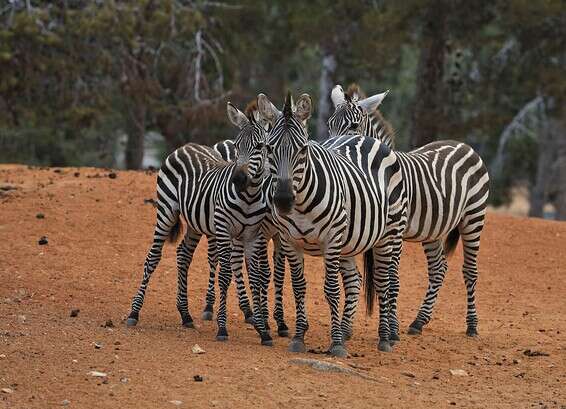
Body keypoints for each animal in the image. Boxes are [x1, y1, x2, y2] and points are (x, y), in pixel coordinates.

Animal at [127, 101, 276, 344]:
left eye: (260, 146)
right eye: (237, 146)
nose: (238, 179)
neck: (248, 197)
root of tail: (186, 146)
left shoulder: (253, 235)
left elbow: (255, 277)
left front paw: (263, 332)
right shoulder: (224, 231)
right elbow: (224, 276)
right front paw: (222, 328)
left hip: (195, 223)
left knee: (183, 255)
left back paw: (185, 314)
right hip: (166, 211)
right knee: (152, 258)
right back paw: (134, 312)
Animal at [258, 91, 408, 354]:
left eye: (303, 149)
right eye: (269, 148)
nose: (283, 200)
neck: (301, 204)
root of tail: (365, 139)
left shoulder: (331, 239)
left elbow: (331, 289)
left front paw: (336, 343)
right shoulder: (290, 241)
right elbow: (298, 287)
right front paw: (299, 338)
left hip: (390, 233)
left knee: (385, 281)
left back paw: (385, 337)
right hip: (349, 241)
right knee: (355, 280)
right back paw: (351, 329)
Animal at [328, 85, 492, 338]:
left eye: (354, 126)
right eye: (329, 124)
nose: (331, 147)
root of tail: (463, 144)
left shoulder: (395, 232)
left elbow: (392, 279)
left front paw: (391, 329)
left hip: (474, 217)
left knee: (470, 271)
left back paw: (472, 326)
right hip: (433, 229)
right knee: (438, 269)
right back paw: (419, 321)